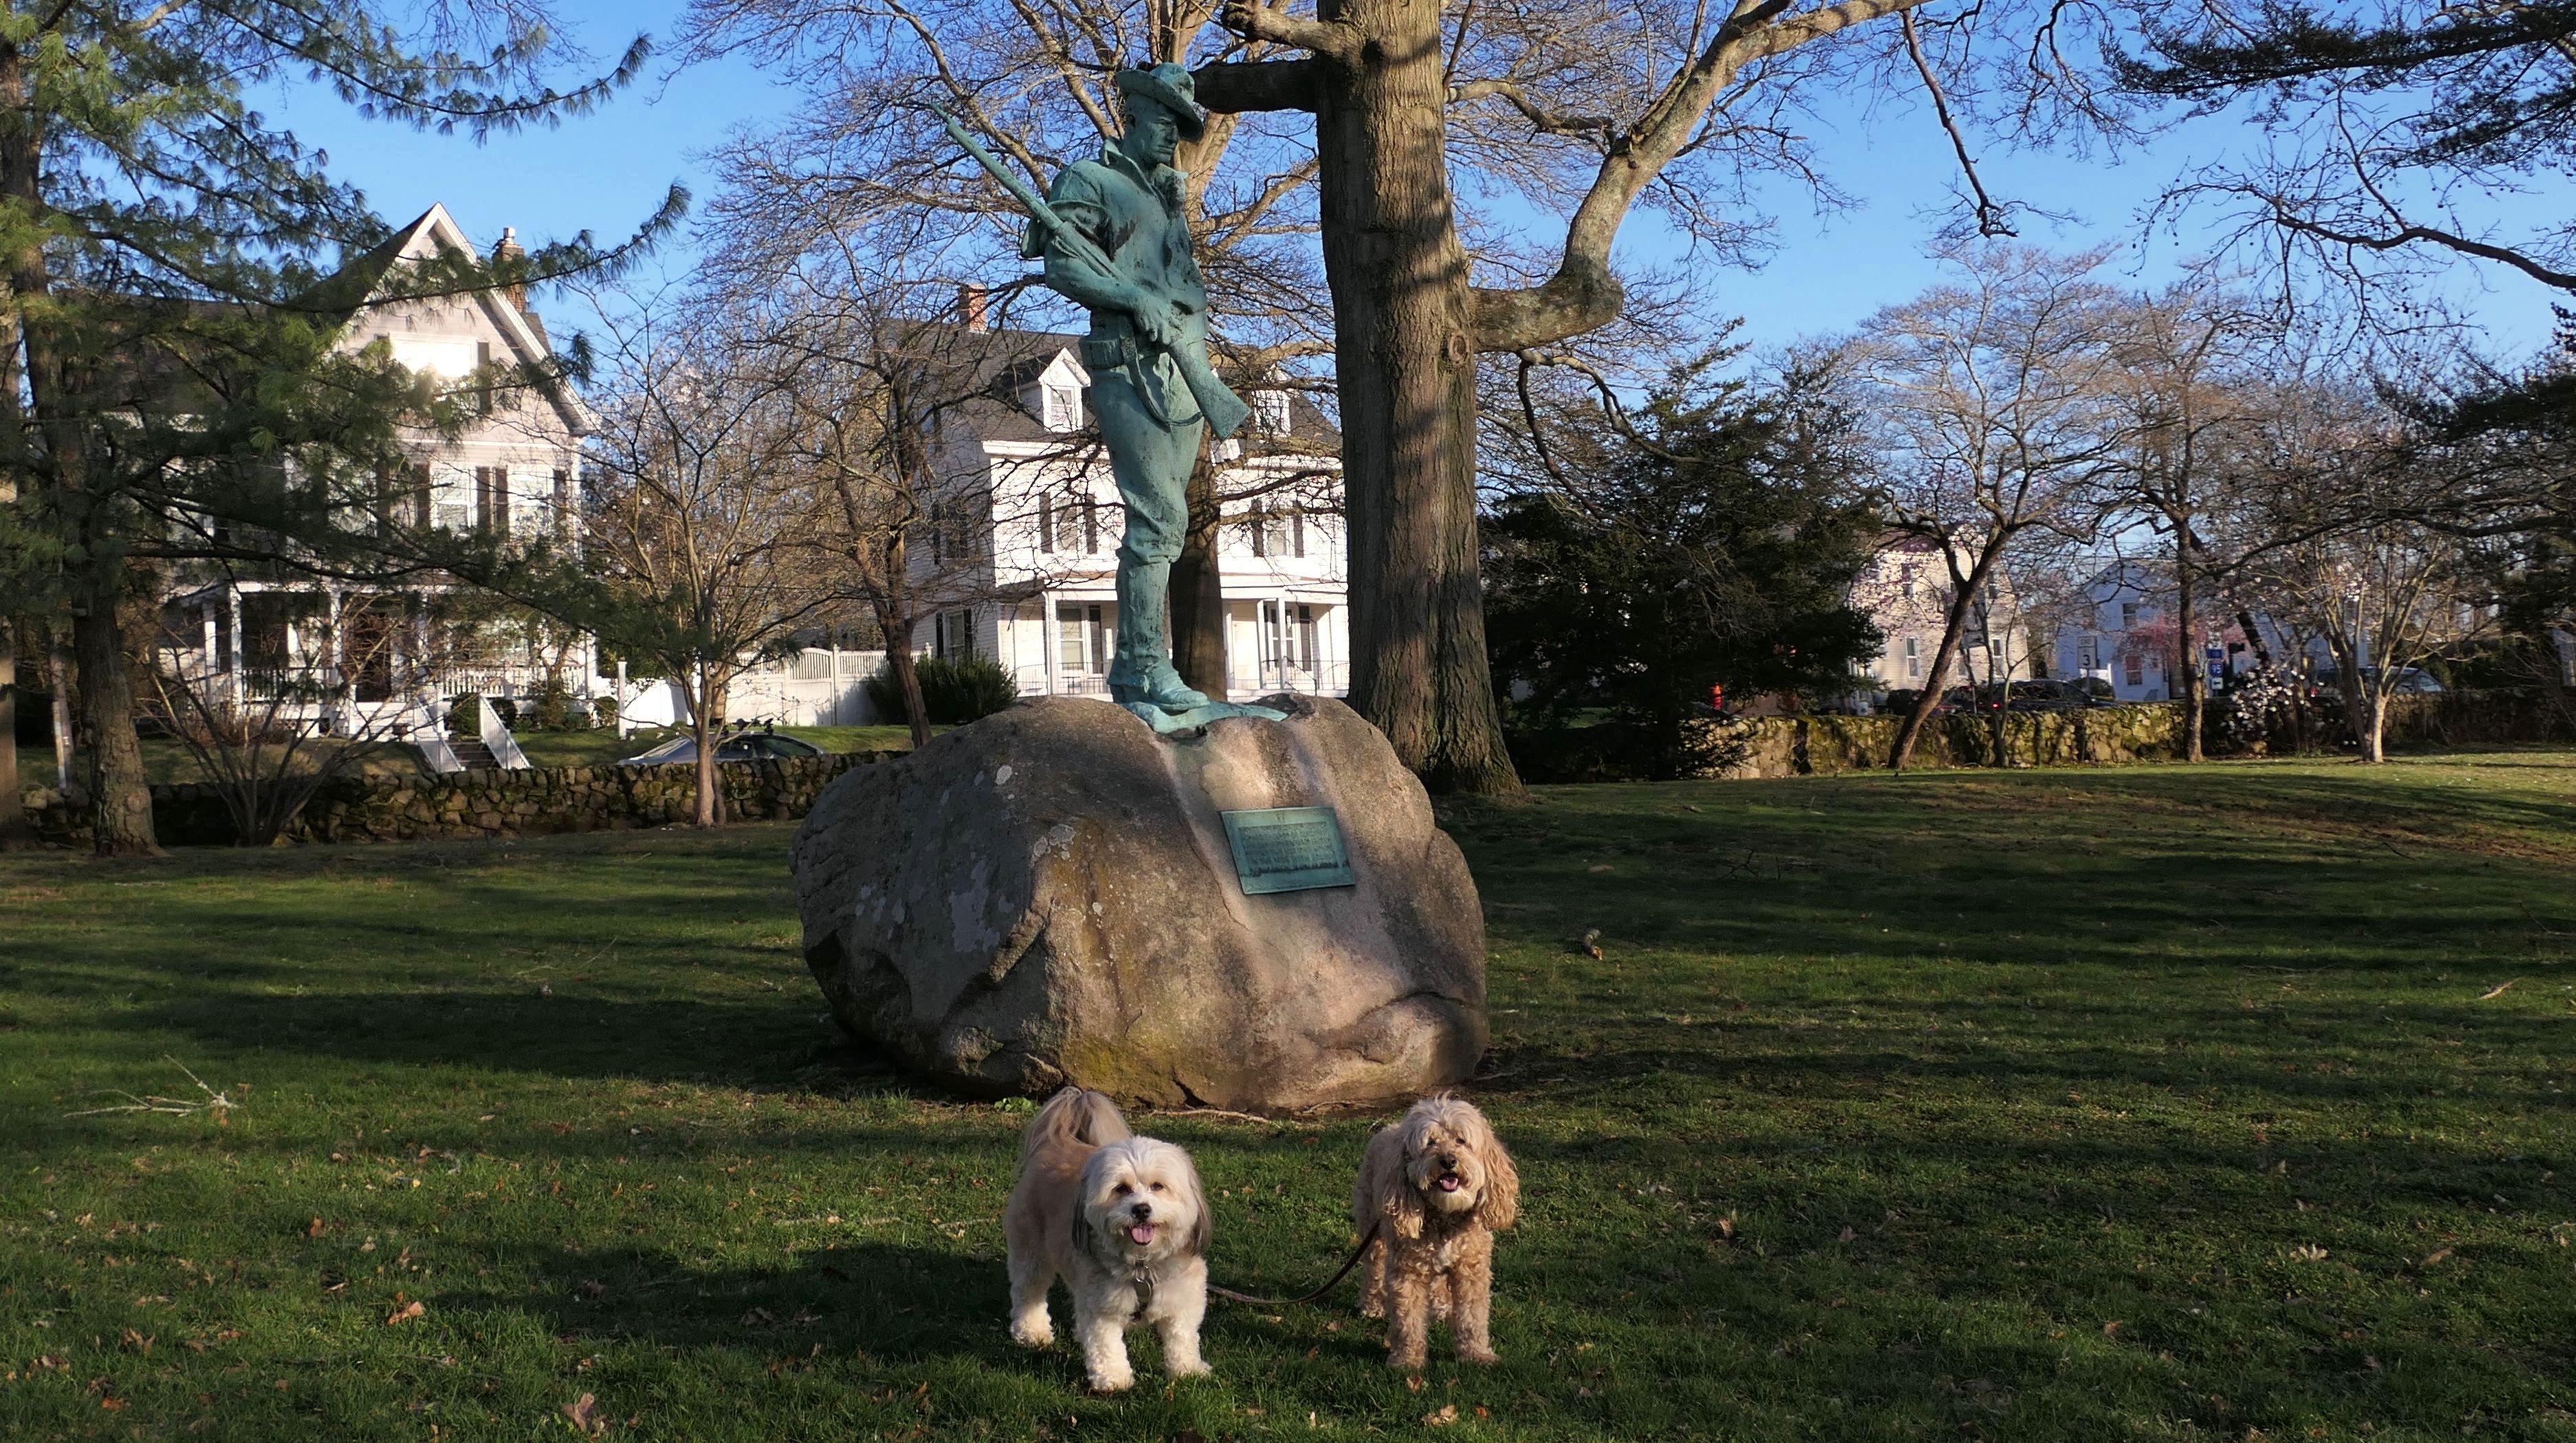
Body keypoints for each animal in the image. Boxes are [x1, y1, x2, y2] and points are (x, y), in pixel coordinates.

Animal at [1003, 1087, 1212, 1392]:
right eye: (1121, 1189)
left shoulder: (1183, 1299)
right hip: (1031, 1252)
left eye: (1158, 1186)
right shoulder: (1101, 1307)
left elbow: (1182, 1339)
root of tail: (1057, 1140)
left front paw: (1188, 1371)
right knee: (1028, 1292)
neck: (1142, 1266)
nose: (1141, 1209)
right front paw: (1113, 1379)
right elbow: (1107, 1346)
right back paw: (1032, 1331)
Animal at [1353, 1094, 1519, 1370]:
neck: (1444, 1216)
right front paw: (1407, 1360)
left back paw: (1442, 1305)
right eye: (1430, 1142)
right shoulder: (1407, 1271)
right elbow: (1407, 1320)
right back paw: (1373, 1304)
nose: (1449, 1161)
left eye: (1461, 1140)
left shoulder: (1471, 1270)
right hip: (1372, 1230)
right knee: (1373, 1269)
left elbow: (1473, 1317)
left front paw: (1476, 1354)